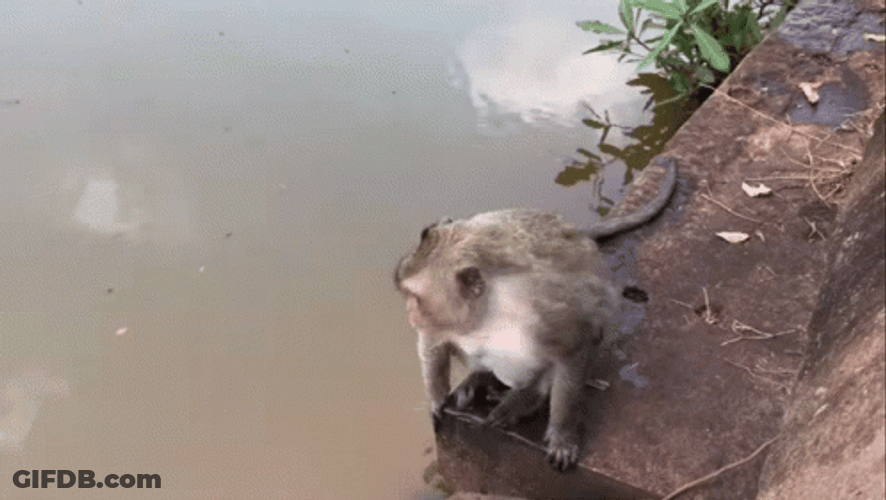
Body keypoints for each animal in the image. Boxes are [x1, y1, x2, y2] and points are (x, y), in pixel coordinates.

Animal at [394, 157, 677, 471]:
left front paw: (561, 434)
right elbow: (433, 347)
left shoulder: (544, 311)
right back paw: (481, 379)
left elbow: (575, 345)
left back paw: (518, 398)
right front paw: (437, 400)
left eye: (416, 299)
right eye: (408, 296)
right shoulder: (443, 325)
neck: (487, 313)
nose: (412, 316)